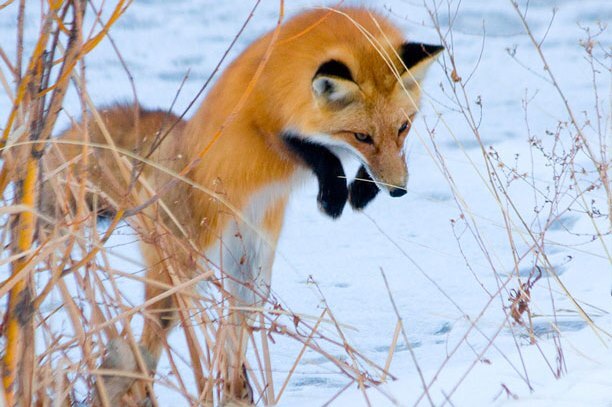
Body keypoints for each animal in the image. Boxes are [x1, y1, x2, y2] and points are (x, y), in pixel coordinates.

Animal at [44, 4, 444, 406]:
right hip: (179, 275)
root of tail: (175, 138)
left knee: (234, 333)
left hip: (250, 274)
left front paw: (362, 189)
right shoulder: (263, 124)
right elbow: (315, 151)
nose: (398, 191)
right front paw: (333, 196)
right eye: (361, 136)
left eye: (403, 128)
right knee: (150, 340)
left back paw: (236, 391)